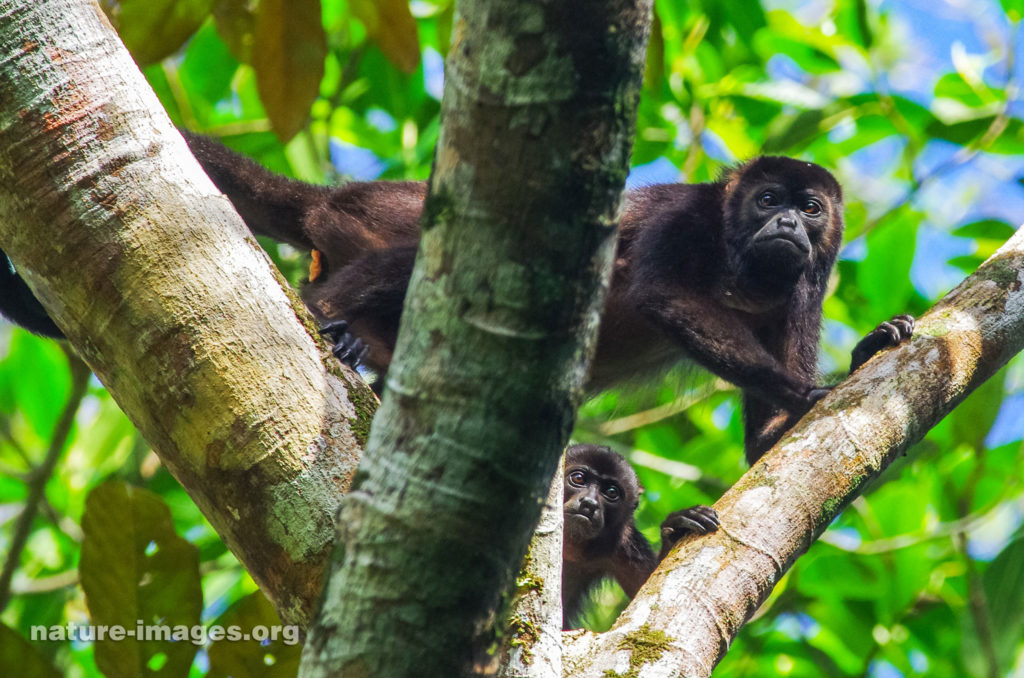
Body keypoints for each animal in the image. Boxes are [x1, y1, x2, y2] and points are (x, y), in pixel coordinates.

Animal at [561, 446, 720, 630]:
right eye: (578, 478)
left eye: (611, 492)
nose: (589, 503)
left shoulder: (624, 545)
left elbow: (646, 586)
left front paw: (677, 528)